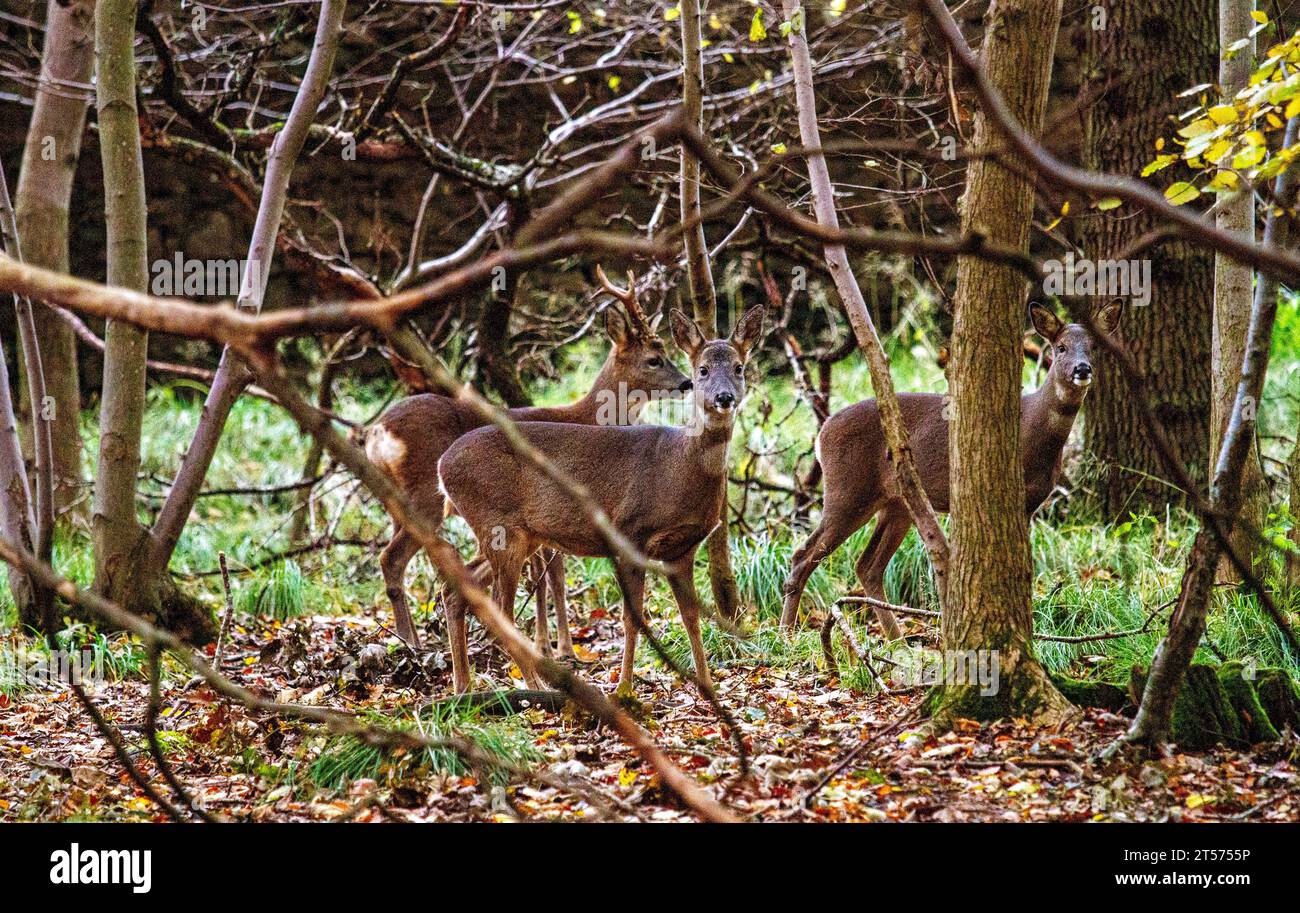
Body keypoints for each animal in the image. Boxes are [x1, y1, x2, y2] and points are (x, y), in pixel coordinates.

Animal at [439, 306, 759, 702]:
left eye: (739, 367)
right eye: (702, 369)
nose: (724, 397)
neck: (679, 466)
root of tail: (442, 465)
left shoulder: (682, 549)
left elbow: (692, 617)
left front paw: (708, 688)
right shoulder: (631, 533)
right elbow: (632, 618)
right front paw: (624, 690)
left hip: (517, 535)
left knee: (456, 590)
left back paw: (464, 687)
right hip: (498, 524)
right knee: (500, 610)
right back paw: (536, 688)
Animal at [774, 300, 1123, 637]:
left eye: (1093, 346)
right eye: (1061, 347)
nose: (1082, 368)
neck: (1032, 430)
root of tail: (822, 434)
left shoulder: (1031, 503)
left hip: (895, 504)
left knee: (867, 565)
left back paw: (898, 641)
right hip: (848, 490)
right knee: (803, 555)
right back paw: (787, 635)